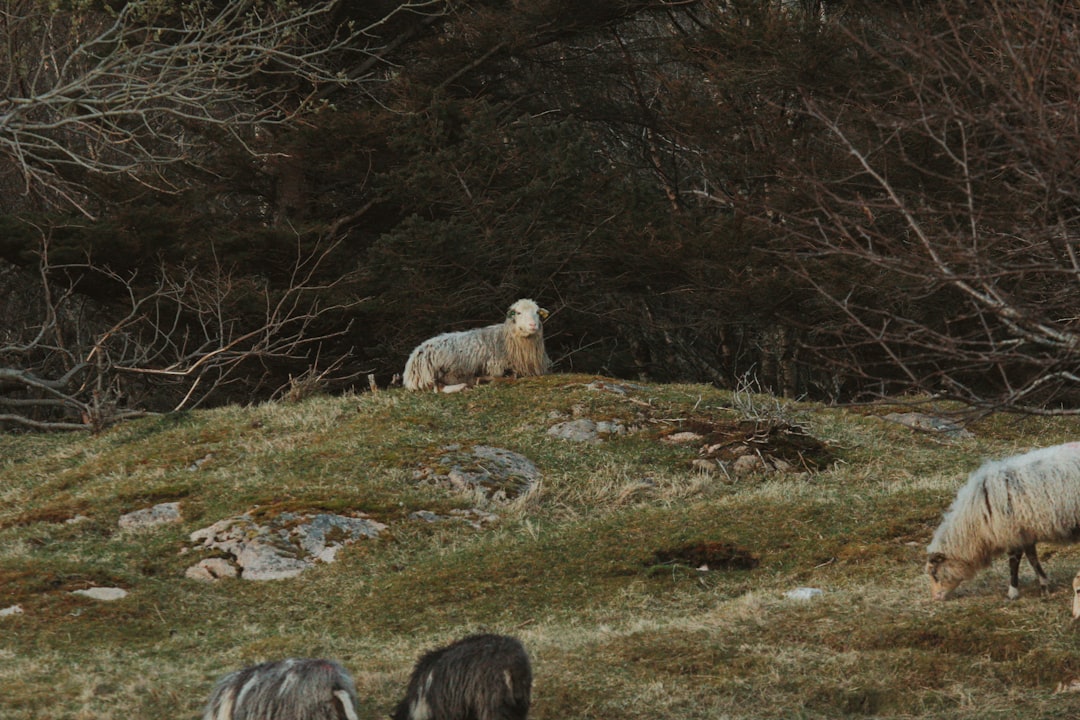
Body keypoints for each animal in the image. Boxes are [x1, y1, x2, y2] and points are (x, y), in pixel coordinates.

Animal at [403, 299, 551, 392]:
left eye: (537, 312)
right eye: (518, 313)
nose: (533, 325)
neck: (505, 339)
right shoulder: (497, 367)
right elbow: (510, 376)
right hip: (433, 373)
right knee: (437, 388)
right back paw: (465, 385)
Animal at [925, 442, 1080, 601]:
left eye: (934, 573)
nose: (935, 598)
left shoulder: (1012, 532)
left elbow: (1014, 562)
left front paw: (1012, 592)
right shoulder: (1025, 533)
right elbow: (1032, 559)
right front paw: (1044, 586)